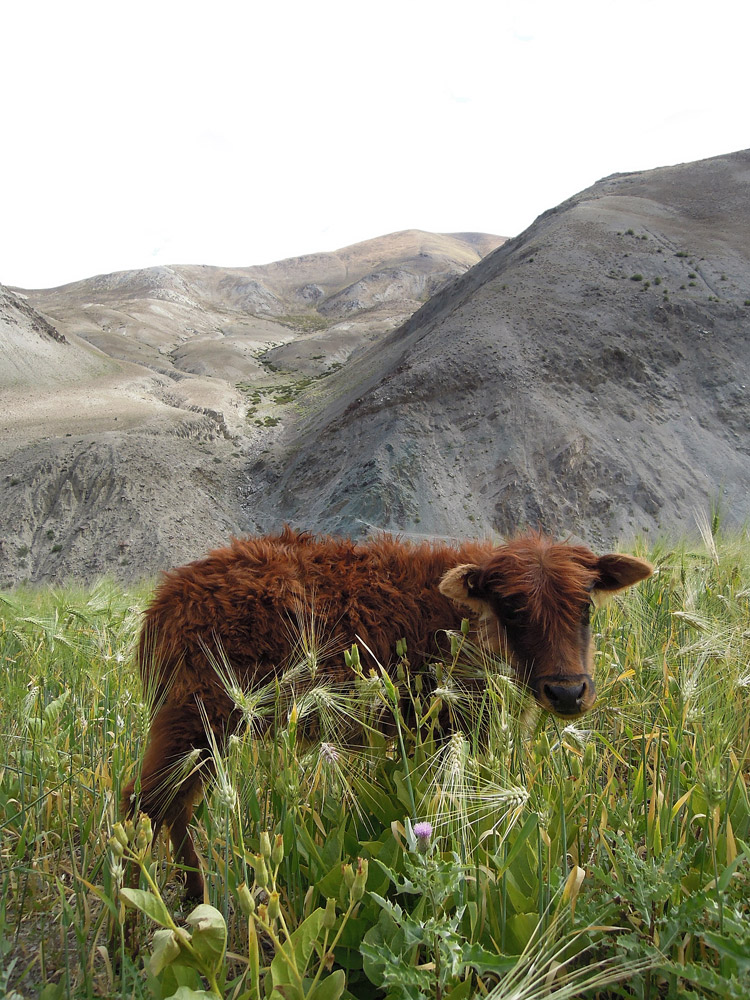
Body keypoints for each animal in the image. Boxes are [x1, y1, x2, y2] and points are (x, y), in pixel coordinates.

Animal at [122, 528, 652, 896]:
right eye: (513, 610)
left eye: (586, 607)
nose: (567, 691)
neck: (462, 622)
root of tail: (162, 604)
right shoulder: (451, 732)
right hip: (195, 720)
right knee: (146, 804)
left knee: (170, 808)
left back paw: (188, 898)